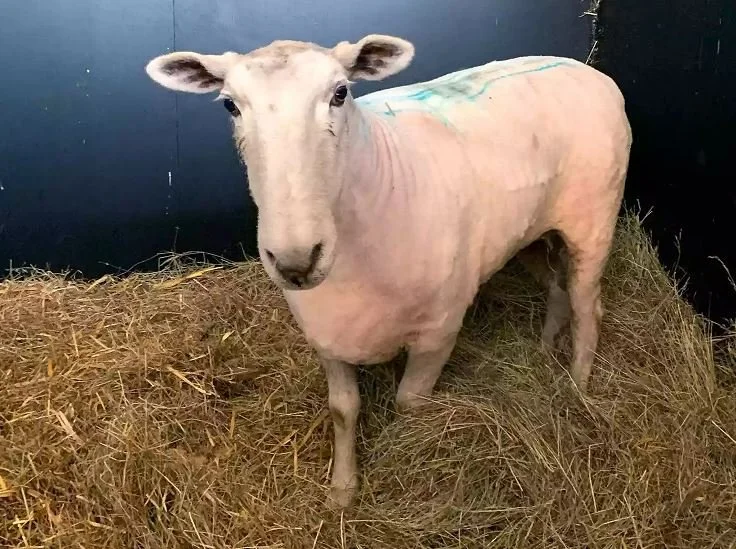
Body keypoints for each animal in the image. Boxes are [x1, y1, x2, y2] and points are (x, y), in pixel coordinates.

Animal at [145, 34, 632, 509]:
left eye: (340, 92)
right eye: (230, 104)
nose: (296, 261)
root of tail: (587, 69)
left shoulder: (438, 332)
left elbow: (408, 404)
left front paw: (403, 461)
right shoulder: (326, 334)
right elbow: (343, 409)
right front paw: (343, 490)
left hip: (595, 220)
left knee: (589, 308)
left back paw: (577, 387)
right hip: (532, 230)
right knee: (557, 288)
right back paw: (547, 347)